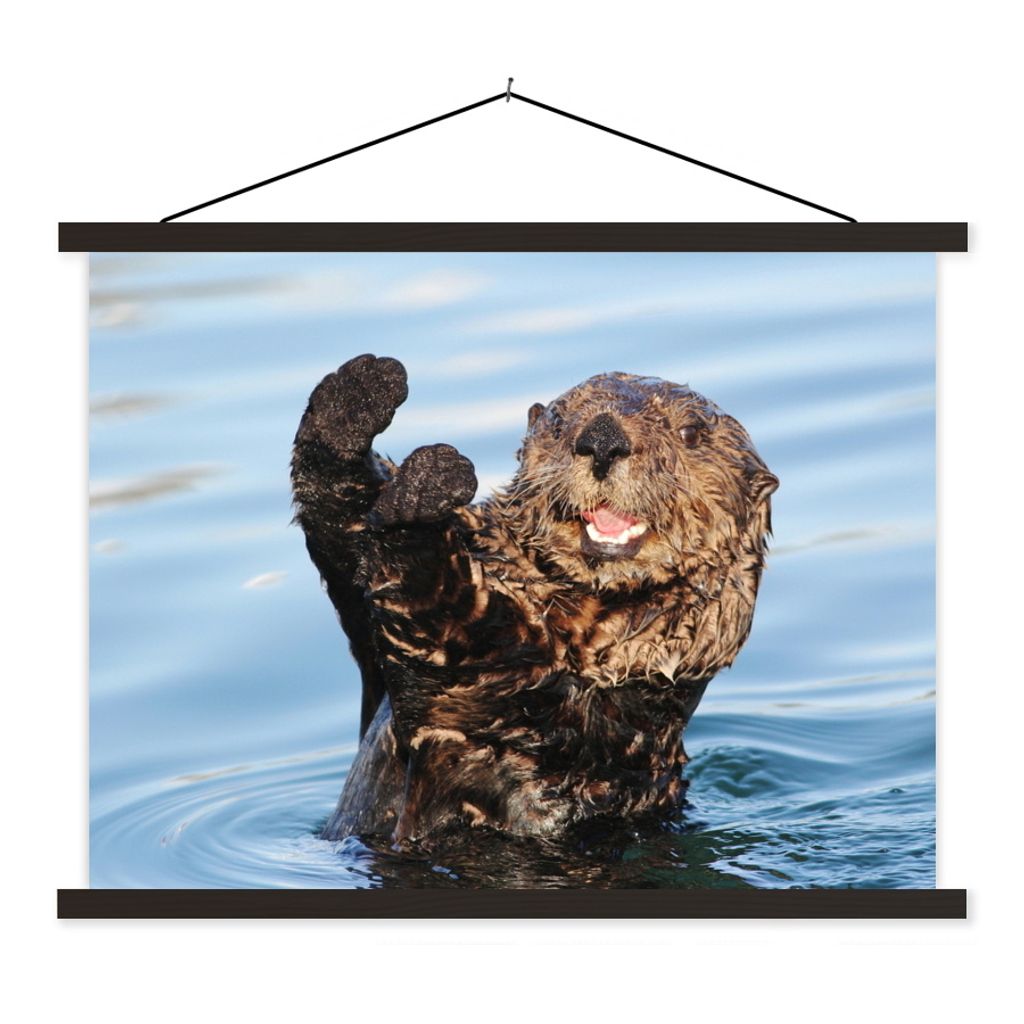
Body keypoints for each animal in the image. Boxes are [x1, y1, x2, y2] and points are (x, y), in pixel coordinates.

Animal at [291, 354, 777, 844]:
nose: (603, 440)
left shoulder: (523, 704)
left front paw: (424, 492)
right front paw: (357, 396)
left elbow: (447, 621)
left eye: (691, 433)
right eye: (559, 422)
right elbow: (345, 539)